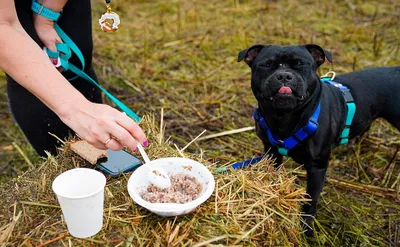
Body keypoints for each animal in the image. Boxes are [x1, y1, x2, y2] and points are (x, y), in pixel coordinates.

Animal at [238, 44, 400, 235]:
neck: (284, 117)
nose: (284, 75)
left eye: (300, 64)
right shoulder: (271, 152)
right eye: (267, 64)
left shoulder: (317, 167)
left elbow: (310, 199)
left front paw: (306, 228)